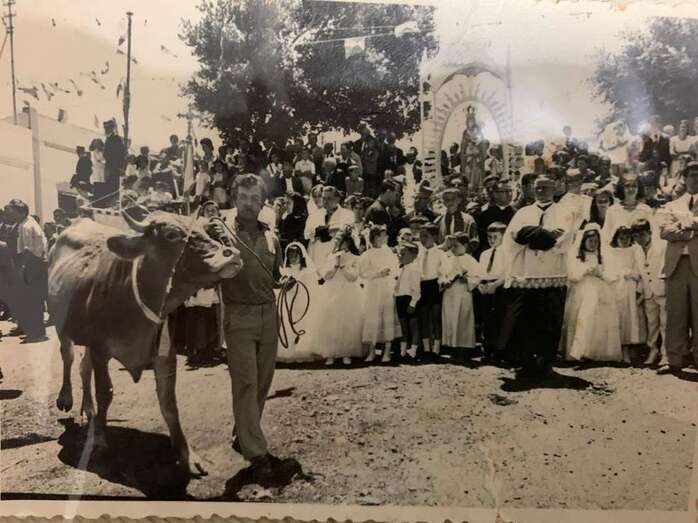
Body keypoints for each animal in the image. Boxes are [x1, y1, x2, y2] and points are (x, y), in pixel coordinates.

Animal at [49, 210, 242, 476]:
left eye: (207, 230)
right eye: (171, 235)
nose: (230, 254)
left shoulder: (165, 355)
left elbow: (169, 403)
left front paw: (187, 454)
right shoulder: (100, 348)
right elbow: (105, 392)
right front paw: (99, 439)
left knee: (82, 366)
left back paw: (89, 409)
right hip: (61, 324)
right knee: (67, 356)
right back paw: (66, 398)